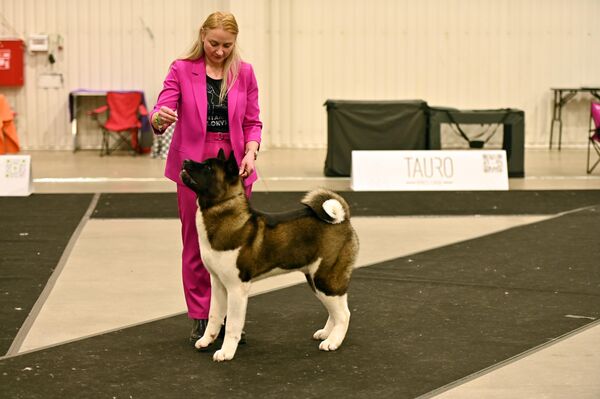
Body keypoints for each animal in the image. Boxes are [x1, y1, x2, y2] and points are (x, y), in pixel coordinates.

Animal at [180, 150, 358, 362]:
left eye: (208, 168)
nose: (185, 160)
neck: (223, 210)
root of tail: (342, 219)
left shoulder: (236, 288)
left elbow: (232, 323)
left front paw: (226, 352)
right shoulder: (218, 284)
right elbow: (214, 315)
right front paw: (207, 340)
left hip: (326, 278)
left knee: (344, 314)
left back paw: (333, 342)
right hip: (316, 279)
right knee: (335, 310)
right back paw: (326, 333)